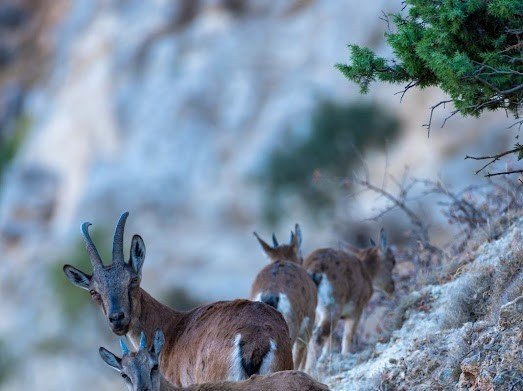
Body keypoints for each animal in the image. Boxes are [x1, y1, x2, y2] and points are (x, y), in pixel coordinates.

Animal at [304, 228, 396, 370]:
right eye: (393, 261)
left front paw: (326, 358)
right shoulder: (355, 310)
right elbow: (348, 334)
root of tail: (314, 270)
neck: (365, 271)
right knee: (318, 335)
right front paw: (346, 355)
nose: (392, 287)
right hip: (332, 308)